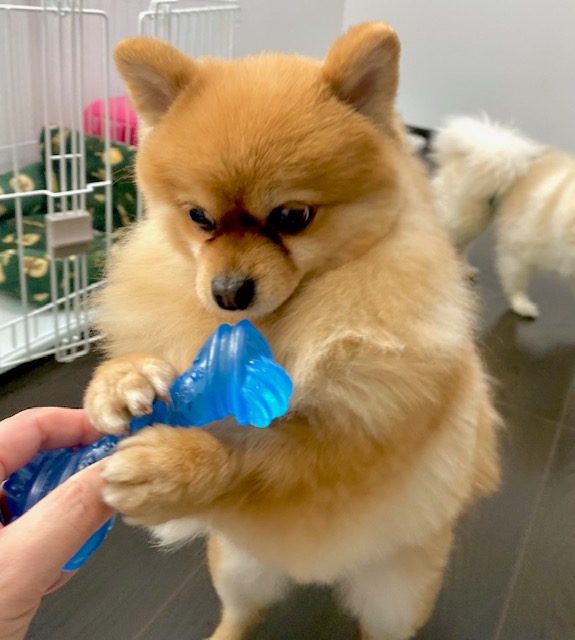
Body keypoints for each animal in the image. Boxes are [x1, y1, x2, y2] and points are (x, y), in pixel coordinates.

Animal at [84, 23, 500, 640]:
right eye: (199, 218)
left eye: (291, 217)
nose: (227, 292)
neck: (281, 322)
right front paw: (118, 383)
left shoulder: (350, 446)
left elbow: (252, 453)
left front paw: (171, 470)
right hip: (236, 566)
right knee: (241, 614)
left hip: (398, 595)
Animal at [431, 115, 575, 319]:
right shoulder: (518, 250)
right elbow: (517, 283)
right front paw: (522, 304)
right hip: (465, 218)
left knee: (461, 246)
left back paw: (463, 268)